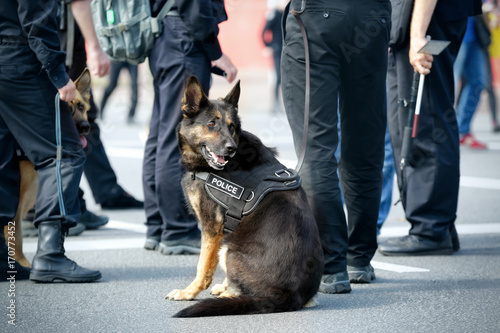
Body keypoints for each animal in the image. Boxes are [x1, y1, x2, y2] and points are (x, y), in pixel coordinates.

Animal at [167, 76, 324, 316]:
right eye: (211, 124)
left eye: (231, 127)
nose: (231, 148)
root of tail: (291, 296)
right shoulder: (222, 230)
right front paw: (222, 286)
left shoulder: (211, 228)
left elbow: (203, 266)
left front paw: (189, 293)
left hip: (230, 249)